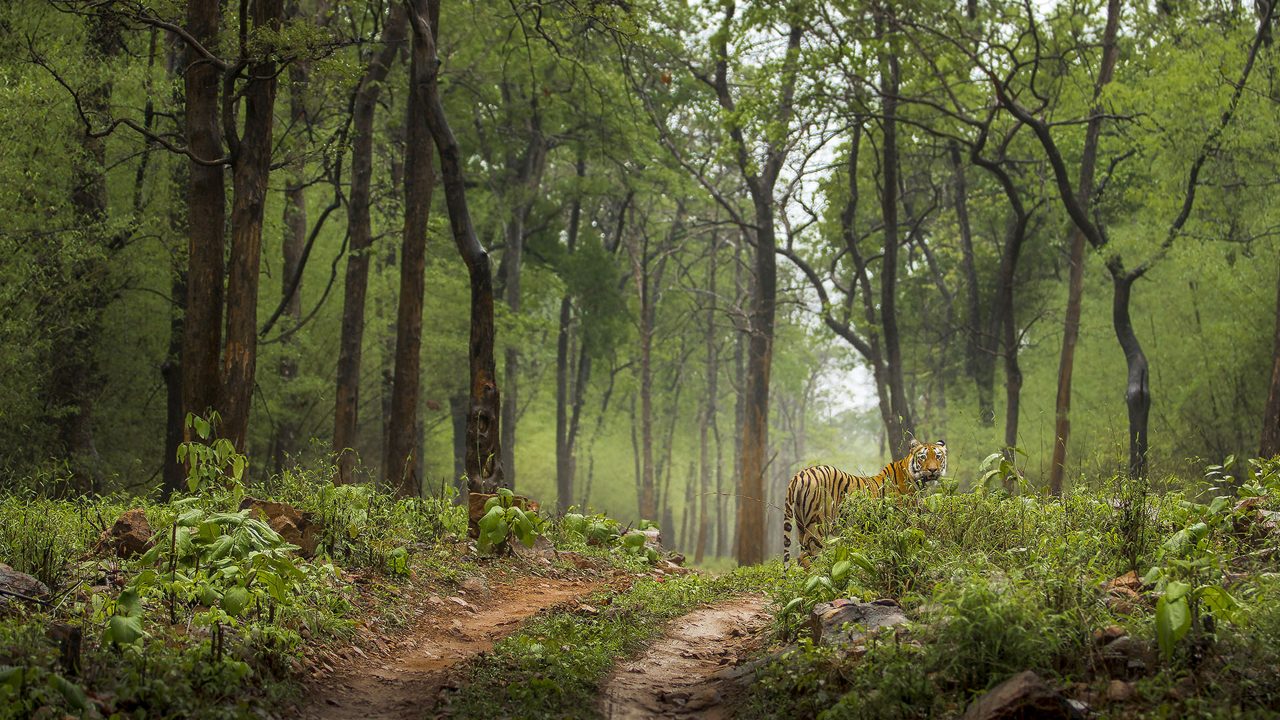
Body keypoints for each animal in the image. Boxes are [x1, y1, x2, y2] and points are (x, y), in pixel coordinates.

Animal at [783, 439, 947, 567]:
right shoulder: (903, 524)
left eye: (938, 456)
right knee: (808, 557)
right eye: (923, 457)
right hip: (818, 526)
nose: (933, 470)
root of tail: (800, 474)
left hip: (801, 525)